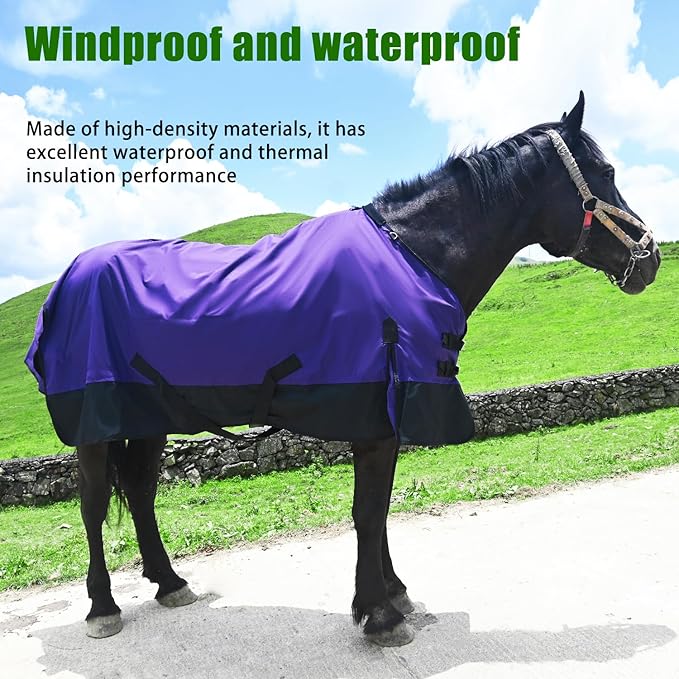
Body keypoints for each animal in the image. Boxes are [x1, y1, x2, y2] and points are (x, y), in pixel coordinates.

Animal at [25, 92, 660, 646]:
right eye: (604, 171)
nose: (650, 258)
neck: (413, 254)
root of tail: (71, 276)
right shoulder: (373, 419)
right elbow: (369, 511)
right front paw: (379, 613)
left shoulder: (386, 417)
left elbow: (379, 511)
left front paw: (393, 593)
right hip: (96, 424)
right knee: (92, 501)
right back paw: (102, 607)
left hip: (150, 415)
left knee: (138, 489)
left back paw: (169, 582)